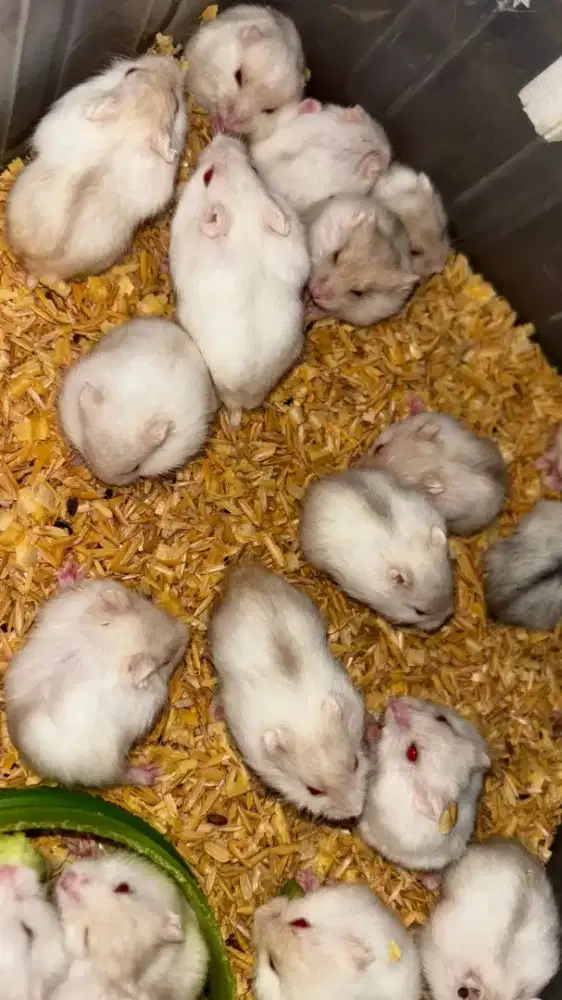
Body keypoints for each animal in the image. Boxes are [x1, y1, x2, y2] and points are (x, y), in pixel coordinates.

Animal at [4, 578, 188, 787]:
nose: (188, 631)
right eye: (165, 661)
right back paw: (150, 773)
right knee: (119, 776)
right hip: (105, 764)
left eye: (148, 599)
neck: (107, 648)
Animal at [184, 4, 304, 136]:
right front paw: (218, 126)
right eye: (238, 76)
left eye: (269, 110)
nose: (228, 121)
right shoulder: (200, 77)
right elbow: (209, 104)